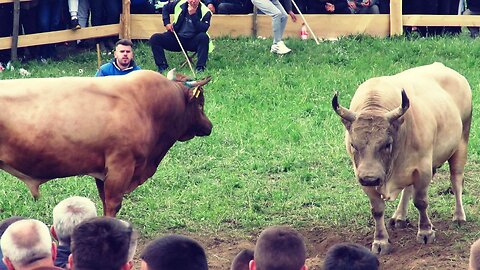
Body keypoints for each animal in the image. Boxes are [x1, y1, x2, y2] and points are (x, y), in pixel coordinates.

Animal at [332, 62, 470, 255]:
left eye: (387, 144)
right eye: (353, 145)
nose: (370, 178)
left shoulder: (423, 169)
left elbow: (421, 202)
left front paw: (426, 232)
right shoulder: (362, 175)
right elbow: (377, 210)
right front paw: (381, 241)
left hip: (461, 143)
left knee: (456, 180)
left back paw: (459, 216)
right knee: (408, 188)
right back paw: (399, 217)